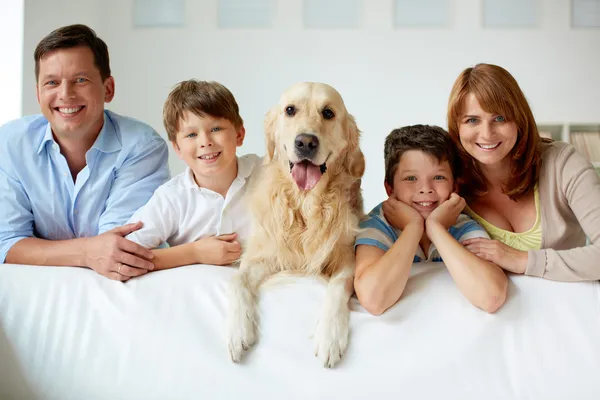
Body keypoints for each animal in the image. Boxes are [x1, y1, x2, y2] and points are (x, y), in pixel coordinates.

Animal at [226, 83, 364, 368]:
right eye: (290, 110)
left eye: (328, 113)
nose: (306, 142)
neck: (305, 203)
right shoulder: (267, 256)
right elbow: (237, 280)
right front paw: (238, 330)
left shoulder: (347, 258)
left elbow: (337, 287)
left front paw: (330, 337)